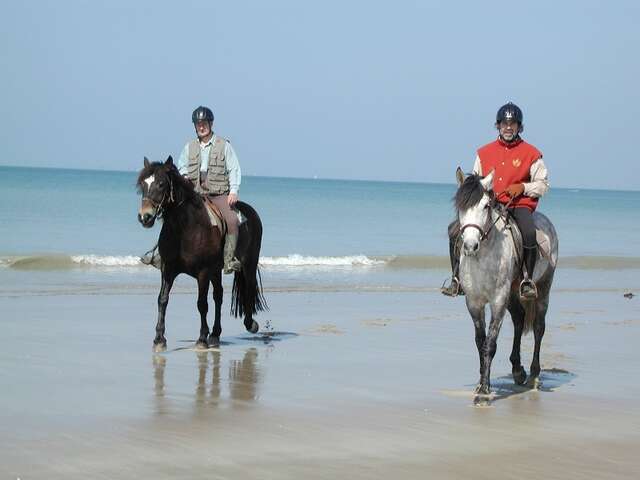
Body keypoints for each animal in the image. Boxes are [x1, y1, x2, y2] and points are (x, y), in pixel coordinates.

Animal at [136, 156, 266, 350]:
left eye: (161, 184)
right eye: (143, 185)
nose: (145, 217)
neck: (184, 229)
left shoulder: (203, 272)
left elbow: (202, 304)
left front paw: (202, 338)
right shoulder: (168, 270)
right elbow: (162, 300)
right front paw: (159, 339)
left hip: (248, 264)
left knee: (248, 288)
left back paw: (250, 324)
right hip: (216, 270)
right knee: (218, 296)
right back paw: (216, 334)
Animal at [452, 169, 556, 402]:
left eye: (485, 206)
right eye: (460, 207)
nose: (470, 246)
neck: (483, 255)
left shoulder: (498, 300)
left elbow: (490, 344)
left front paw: (483, 392)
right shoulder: (474, 302)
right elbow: (480, 342)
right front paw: (481, 383)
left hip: (543, 288)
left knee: (539, 327)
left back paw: (534, 375)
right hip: (513, 292)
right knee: (519, 319)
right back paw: (518, 371)